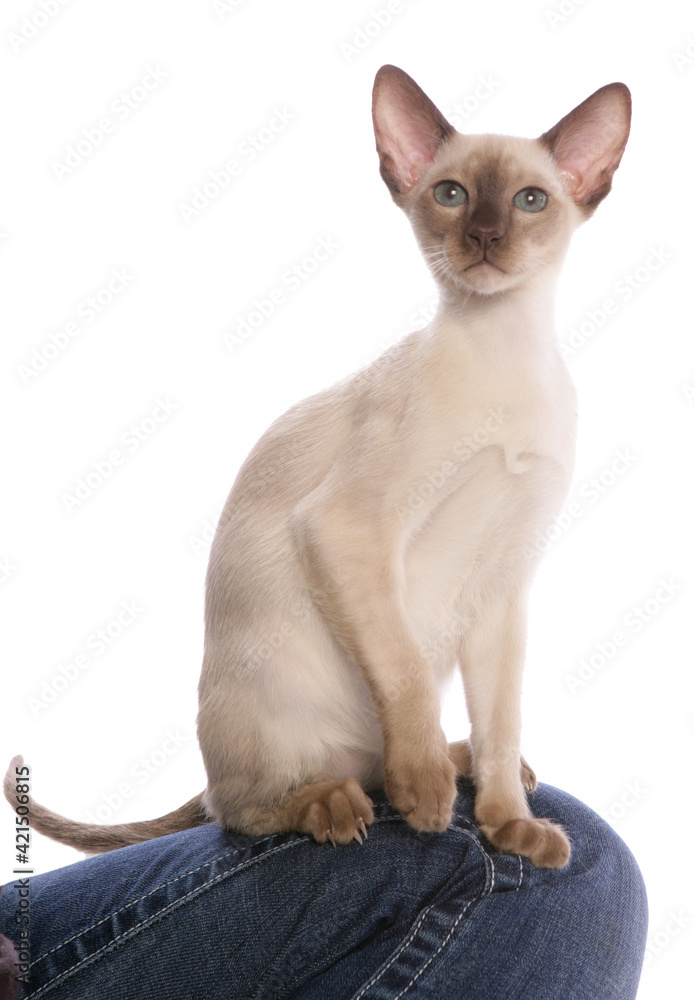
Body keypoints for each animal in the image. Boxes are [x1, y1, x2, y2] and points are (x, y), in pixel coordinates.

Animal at [4, 68, 632, 868]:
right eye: (452, 194)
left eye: (530, 201)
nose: (487, 237)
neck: (504, 352)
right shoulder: (346, 529)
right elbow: (406, 677)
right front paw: (429, 799)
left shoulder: (504, 582)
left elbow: (502, 720)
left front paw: (507, 825)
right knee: (240, 806)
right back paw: (345, 801)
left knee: (379, 762)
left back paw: (454, 765)